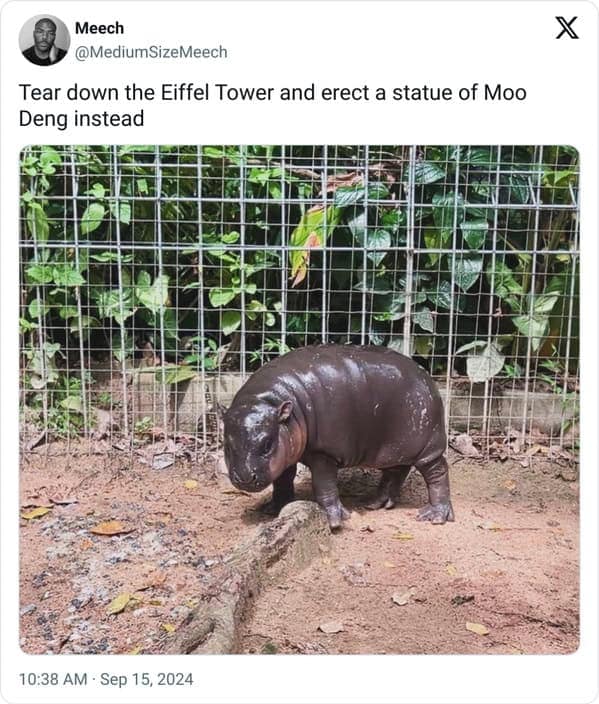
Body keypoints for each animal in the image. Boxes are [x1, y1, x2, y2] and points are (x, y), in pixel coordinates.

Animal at [223, 344, 454, 529]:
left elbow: (323, 484)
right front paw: (274, 508)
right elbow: (282, 479)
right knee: (396, 471)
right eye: (227, 445)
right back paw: (375, 503)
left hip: (427, 446)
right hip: (394, 448)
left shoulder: (323, 452)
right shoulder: (286, 450)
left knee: (438, 471)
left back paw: (435, 515)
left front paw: (333, 520)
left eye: (267, 444)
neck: (269, 400)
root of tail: (426, 376)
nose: (245, 478)